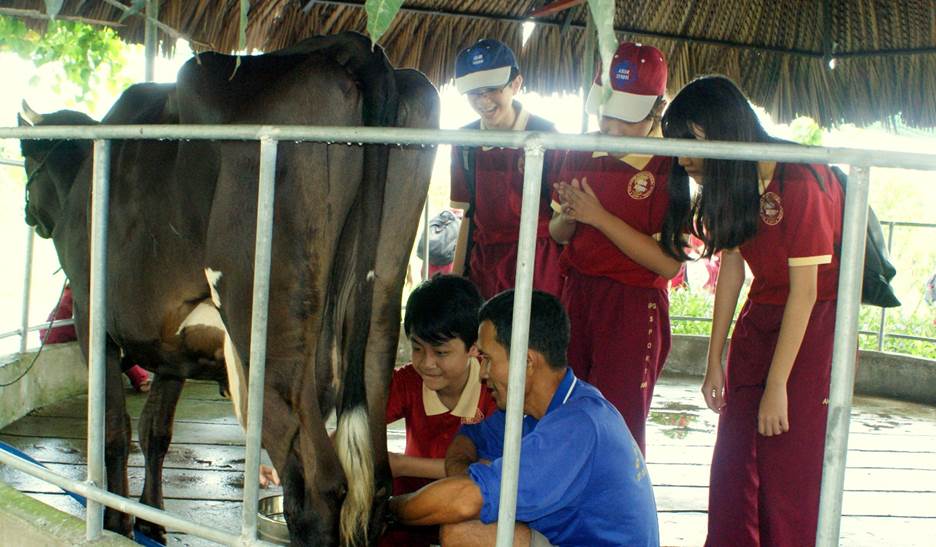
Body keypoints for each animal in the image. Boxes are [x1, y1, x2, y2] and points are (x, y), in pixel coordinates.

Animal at [18, 31, 440, 547]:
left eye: (27, 158)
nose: (29, 214)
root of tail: (347, 47)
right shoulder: (171, 343)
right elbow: (156, 431)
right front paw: (151, 521)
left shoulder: (89, 316)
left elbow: (113, 430)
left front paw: (116, 522)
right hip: (377, 310)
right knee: (374, 479)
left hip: (266, 331)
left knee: (319, 488)